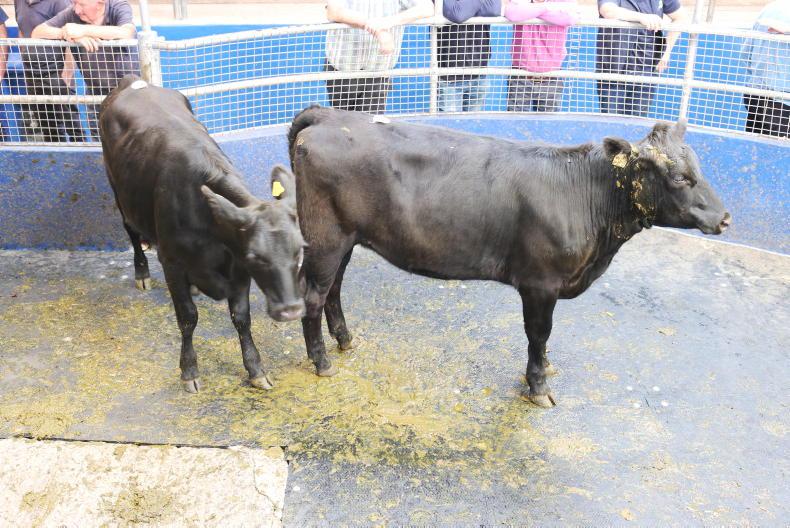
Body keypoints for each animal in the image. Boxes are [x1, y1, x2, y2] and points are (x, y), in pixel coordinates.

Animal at [99, 75, 306, 393]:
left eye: (299, 252)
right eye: (255, 257)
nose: (292, 310)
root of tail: (133, 81)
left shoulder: (236, 271)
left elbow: (242, 319)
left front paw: (255, 369)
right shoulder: (171, 262)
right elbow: (187, 318)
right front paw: (189, 371)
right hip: (118, 191)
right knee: (132, 232)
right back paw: (141, 273)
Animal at [288, 106, 731, 407]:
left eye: (698, 168)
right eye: (679, 177)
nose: (724, 218)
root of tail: (329, 115)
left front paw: (545, 370)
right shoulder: (540, 283)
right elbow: (539, 334)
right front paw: (539, 386)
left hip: (346, 240)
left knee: (334, 290)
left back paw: (346, 340)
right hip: (325, 238)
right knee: (313, 297)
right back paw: (321, 361)